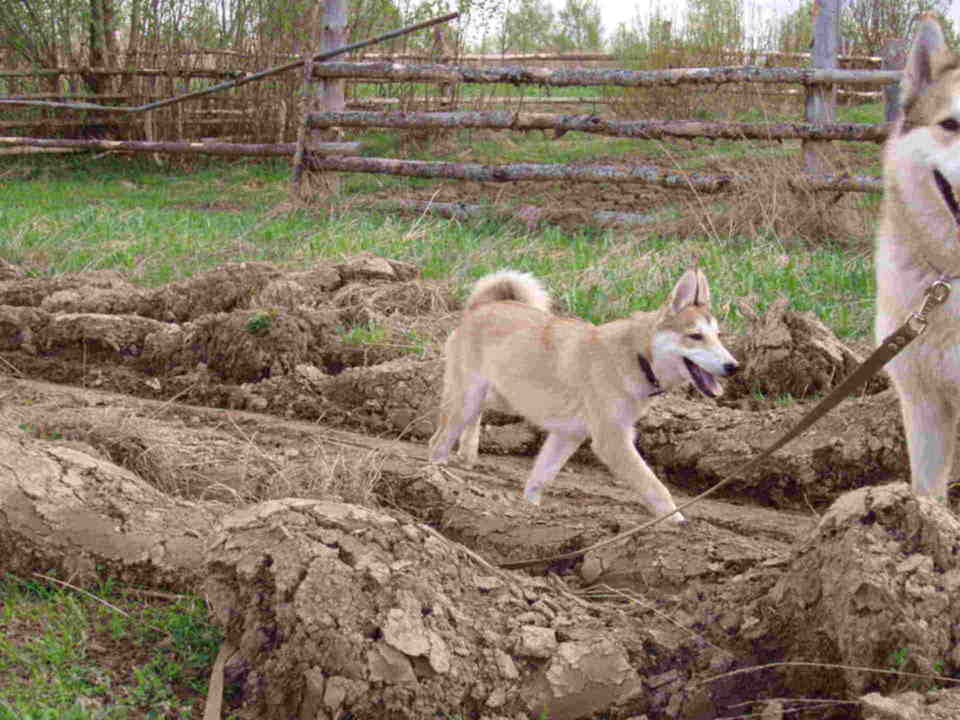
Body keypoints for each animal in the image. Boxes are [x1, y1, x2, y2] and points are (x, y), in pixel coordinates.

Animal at [432, 268, 740, 520]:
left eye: (718, 336)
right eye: (695, 336)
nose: (733, 366)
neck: (637, 355)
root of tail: (481, 307)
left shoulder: (568, 435)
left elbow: (540, 478)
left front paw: (529, 512)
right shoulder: (612, 440)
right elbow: (656, 489)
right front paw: (678, 526)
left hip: (500, 396)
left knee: (473, 417)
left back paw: (467, 452)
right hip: (467, 399)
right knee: (438, 442)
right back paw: (436, 478)